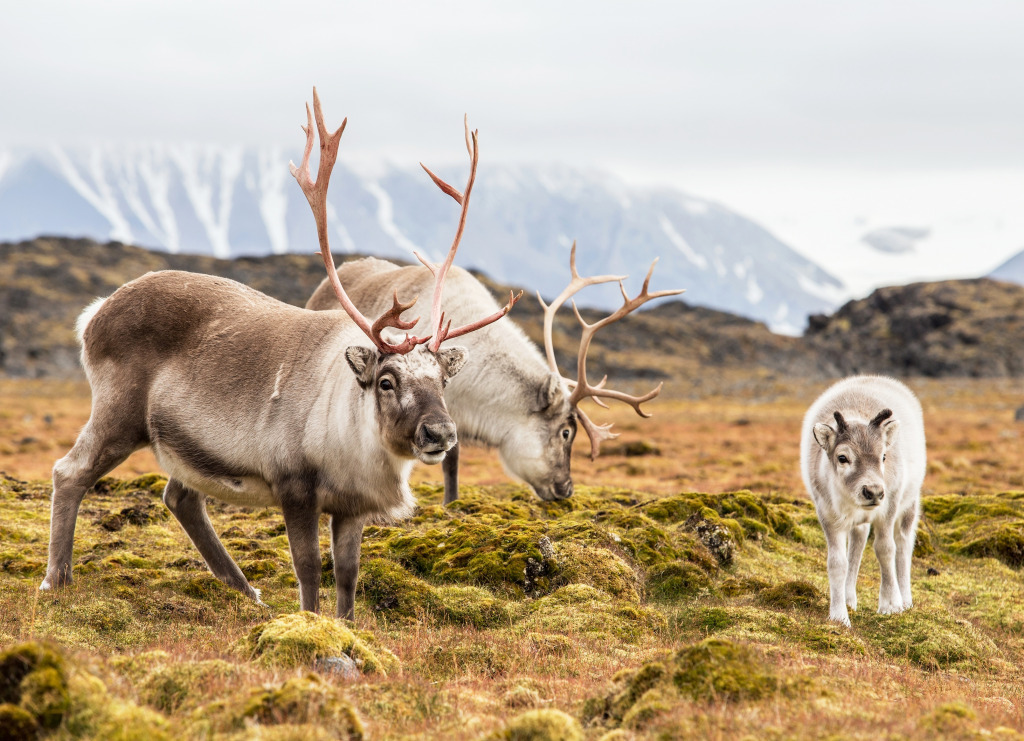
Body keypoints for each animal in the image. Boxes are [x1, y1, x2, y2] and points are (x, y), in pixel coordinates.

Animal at [798, 376, 929, 626]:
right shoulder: (828, 515)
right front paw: (839, 615)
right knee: (858, 543)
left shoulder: (888, 509)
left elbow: (885, 550)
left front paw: (890, 605)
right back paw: (850, 598)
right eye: (842, 457)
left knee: (904, 544)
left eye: (883, 456)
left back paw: (906, 599)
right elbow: (837, 562)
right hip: (859, 521)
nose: (873, 492)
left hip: (909, 503)